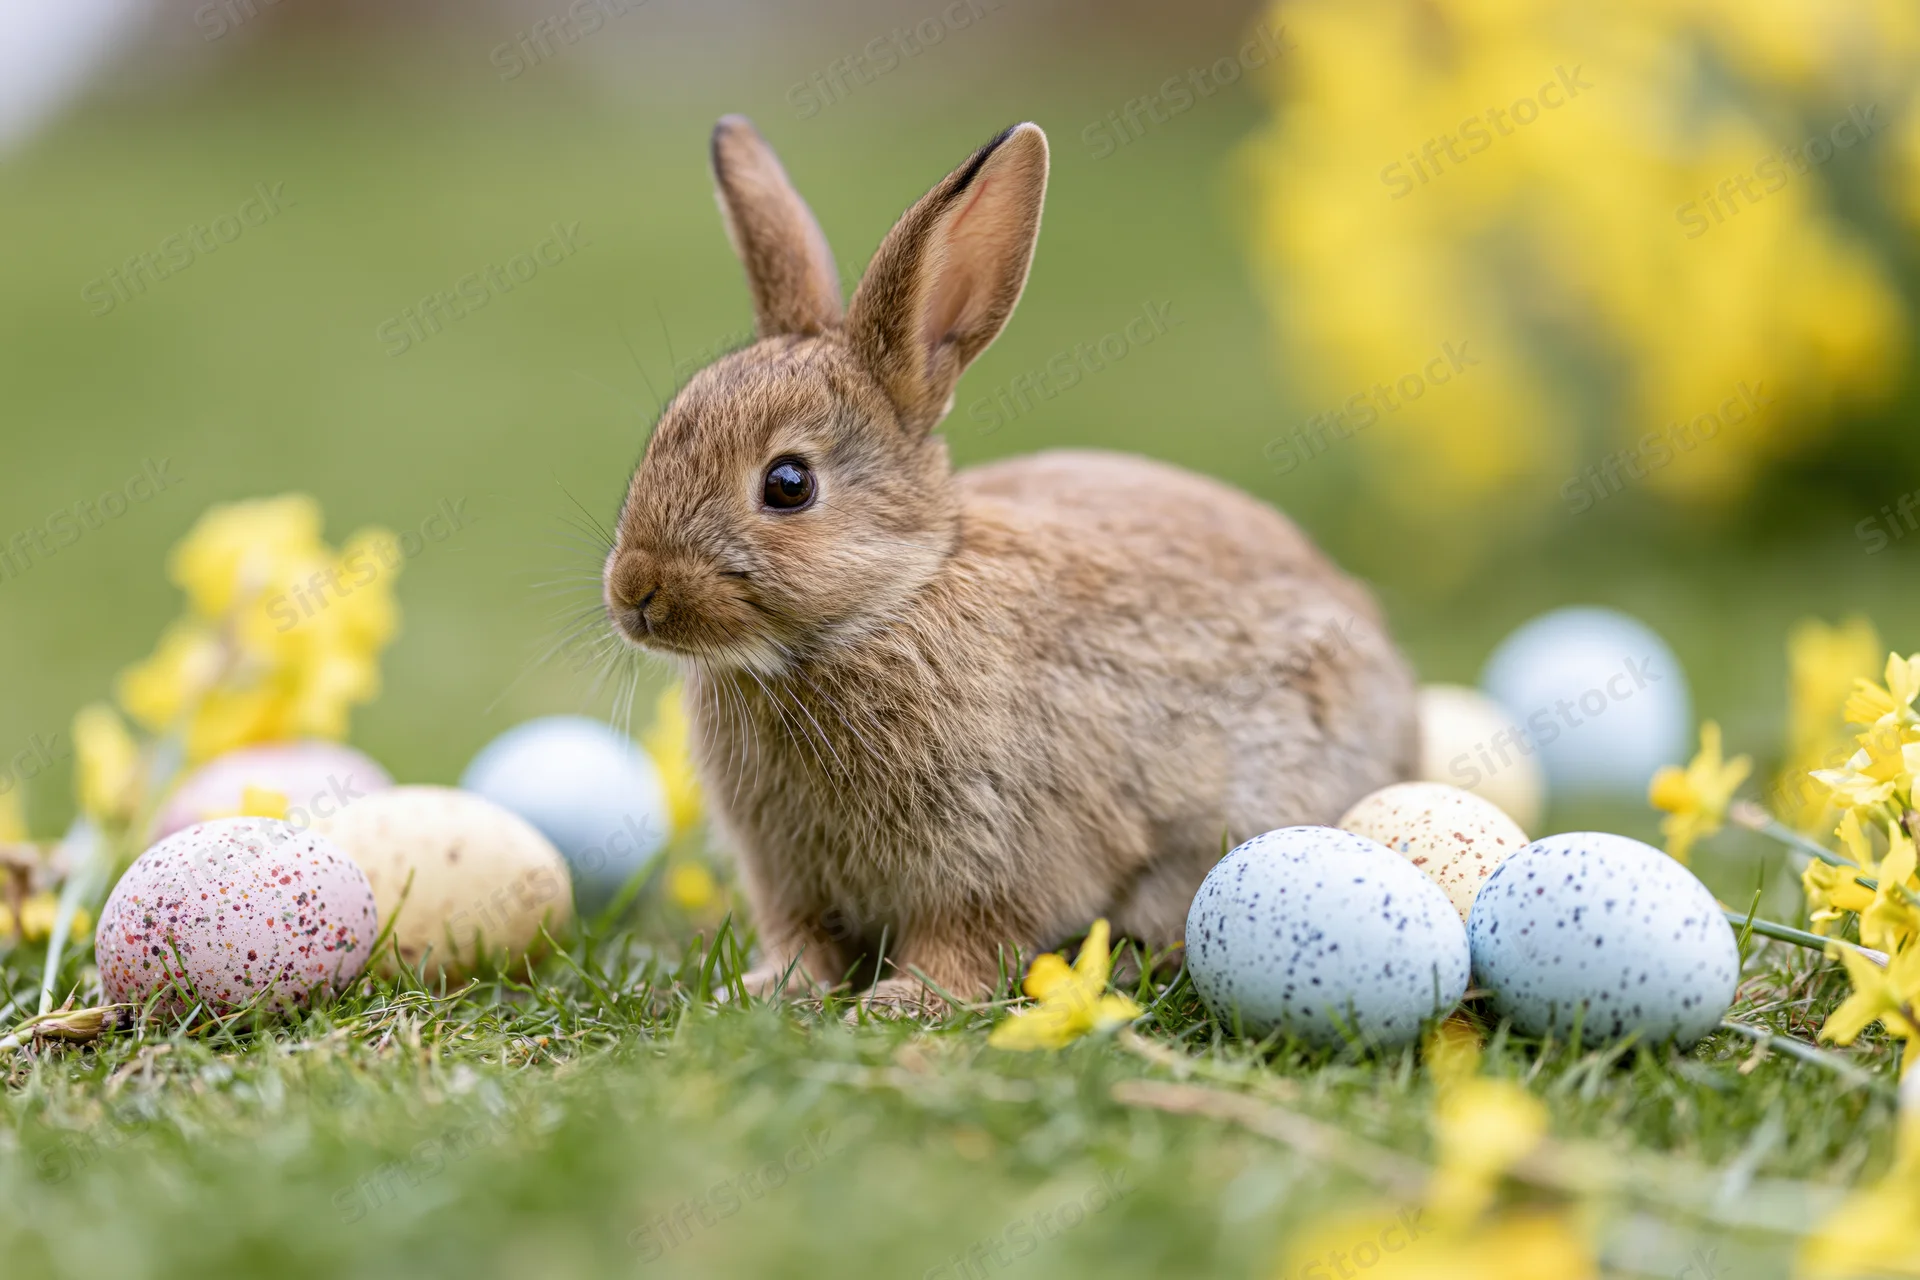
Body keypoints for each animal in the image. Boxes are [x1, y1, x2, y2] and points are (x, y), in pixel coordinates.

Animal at [602, 115, 1419, 1011]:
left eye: (788, 484)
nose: (635, 592)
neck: (887, 606)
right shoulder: (788, 880)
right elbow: (801, 943)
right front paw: (758, 991)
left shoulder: (1001, 857)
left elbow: (967, 939)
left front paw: (904, 1001)